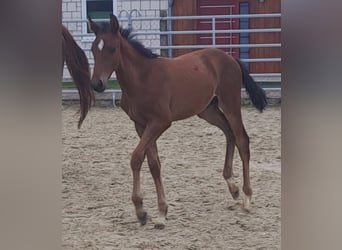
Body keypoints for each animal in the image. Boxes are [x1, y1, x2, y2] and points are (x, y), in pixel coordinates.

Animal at [87, 14, 268, 229]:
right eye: (93, 49)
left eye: (113, 48)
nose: (97, 84)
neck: (142, 78)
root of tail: (230, 58)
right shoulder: (141, 125)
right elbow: (153, 164)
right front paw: (159, 212)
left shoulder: (160, 122)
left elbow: (136, 158)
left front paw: (141, 209)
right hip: (208, 110)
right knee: (229, 133)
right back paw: (233, 187)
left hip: (230, 103)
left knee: (242, 140)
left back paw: (247, 197)